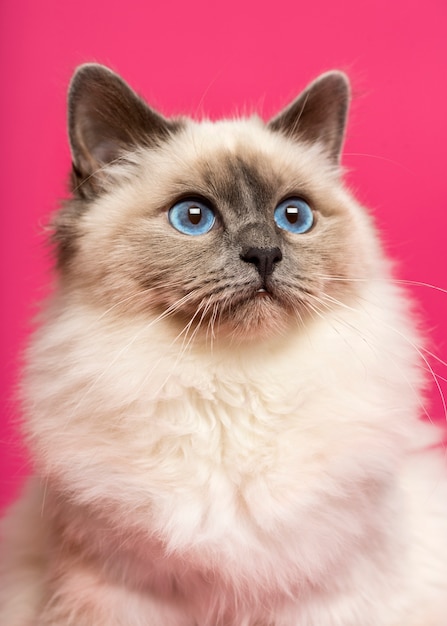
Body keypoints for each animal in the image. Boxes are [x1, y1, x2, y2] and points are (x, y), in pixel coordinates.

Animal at [0, 62, 447, 624]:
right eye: (193, 217)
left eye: (293, 216)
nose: (264, 254)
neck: (236, 383)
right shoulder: (119, 592)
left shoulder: (326, 597)